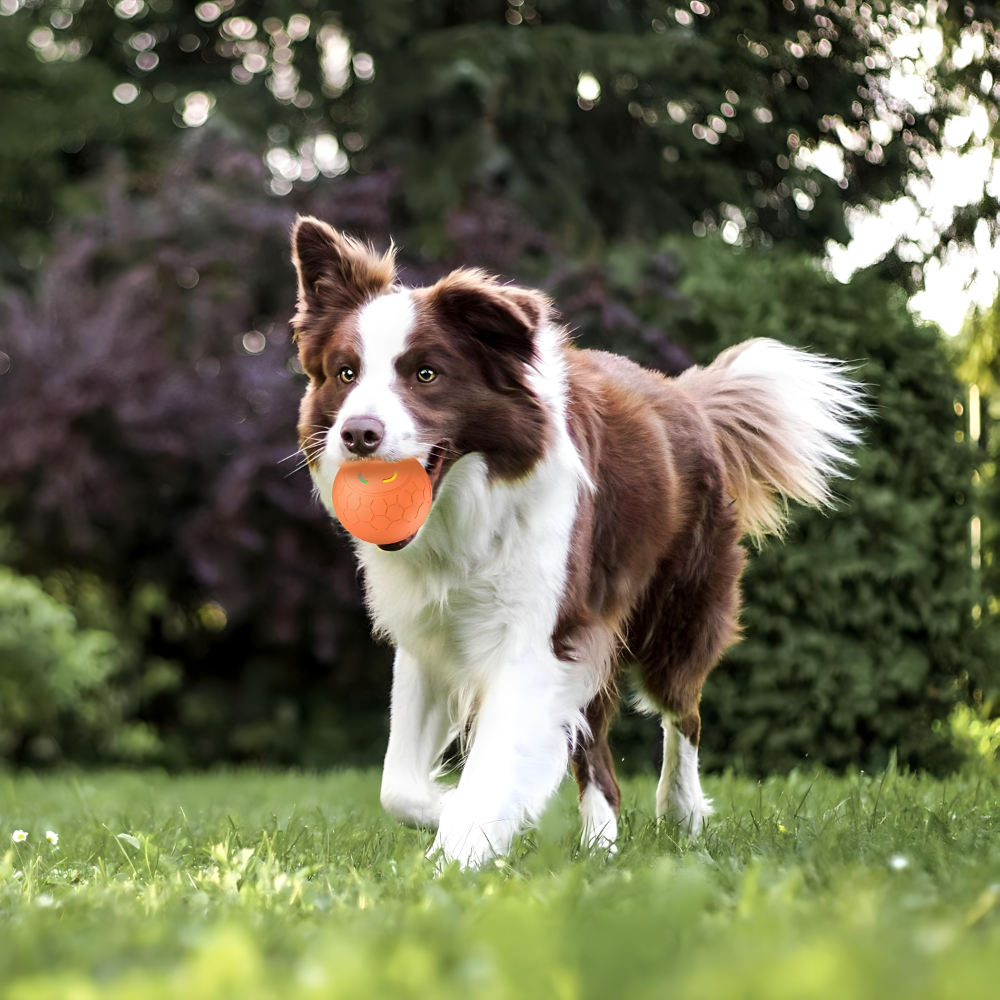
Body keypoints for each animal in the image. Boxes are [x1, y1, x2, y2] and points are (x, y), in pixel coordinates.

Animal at [292, 217, 868, 868]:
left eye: (426, 374)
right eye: (346, 373)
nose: (357, 434)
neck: (466, 512)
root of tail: (687, 397)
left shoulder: (536, 636)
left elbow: (492, 764)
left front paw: (460, 850)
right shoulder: (432, 635)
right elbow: (399, 787)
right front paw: (461, 815)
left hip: (675, 614)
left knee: (683, 712)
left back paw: (680, 812)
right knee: (597, 753)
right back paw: (600, 845)